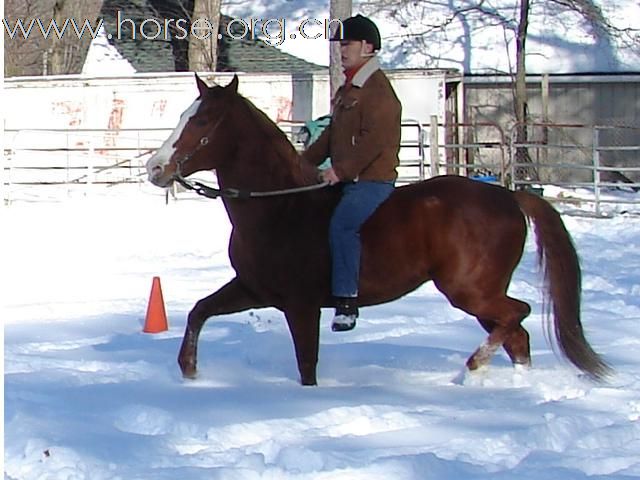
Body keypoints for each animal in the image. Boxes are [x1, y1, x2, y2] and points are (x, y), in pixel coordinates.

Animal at [145, 74, 608, 386]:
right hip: (479, 297)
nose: (155, 168)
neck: (280, 207)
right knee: (518, 336)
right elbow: (199, 311)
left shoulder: (301, 305)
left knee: (518, 315)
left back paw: (472, 369)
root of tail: (509, 196)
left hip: (471, 291)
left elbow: (307, 366)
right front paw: (189, 371)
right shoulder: (253, 289)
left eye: (203, 120)